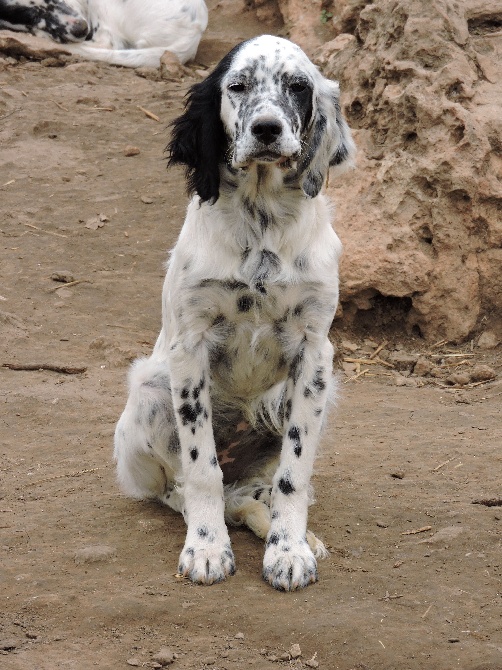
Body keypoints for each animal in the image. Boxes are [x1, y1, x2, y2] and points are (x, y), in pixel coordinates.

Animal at [115, 34, 354, 592]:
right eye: (238, 86)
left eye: (298, 86)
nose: (267, 129)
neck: (261, 219)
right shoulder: (189, 347)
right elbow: (201, 468)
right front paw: (206, 549)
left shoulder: (316, 352)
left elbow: (294, 473)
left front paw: (289, 550)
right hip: (149, 393)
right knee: (186, 489)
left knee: (254, 490)